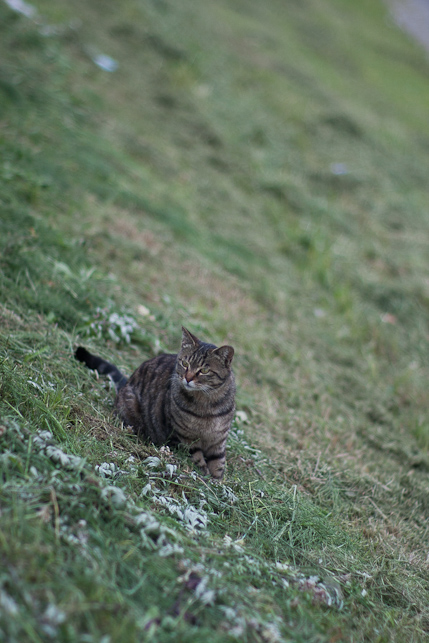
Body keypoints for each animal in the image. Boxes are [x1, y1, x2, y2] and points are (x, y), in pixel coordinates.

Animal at [73, 328, 234, 478]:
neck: (207, 404)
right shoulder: (184, 437)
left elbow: (218, 464)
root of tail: (126, 382)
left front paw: (216, 481)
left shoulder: (218, 441)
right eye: (185, 363)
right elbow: (197, 458)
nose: (187, 378)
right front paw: (205, 475)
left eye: (205, 370)